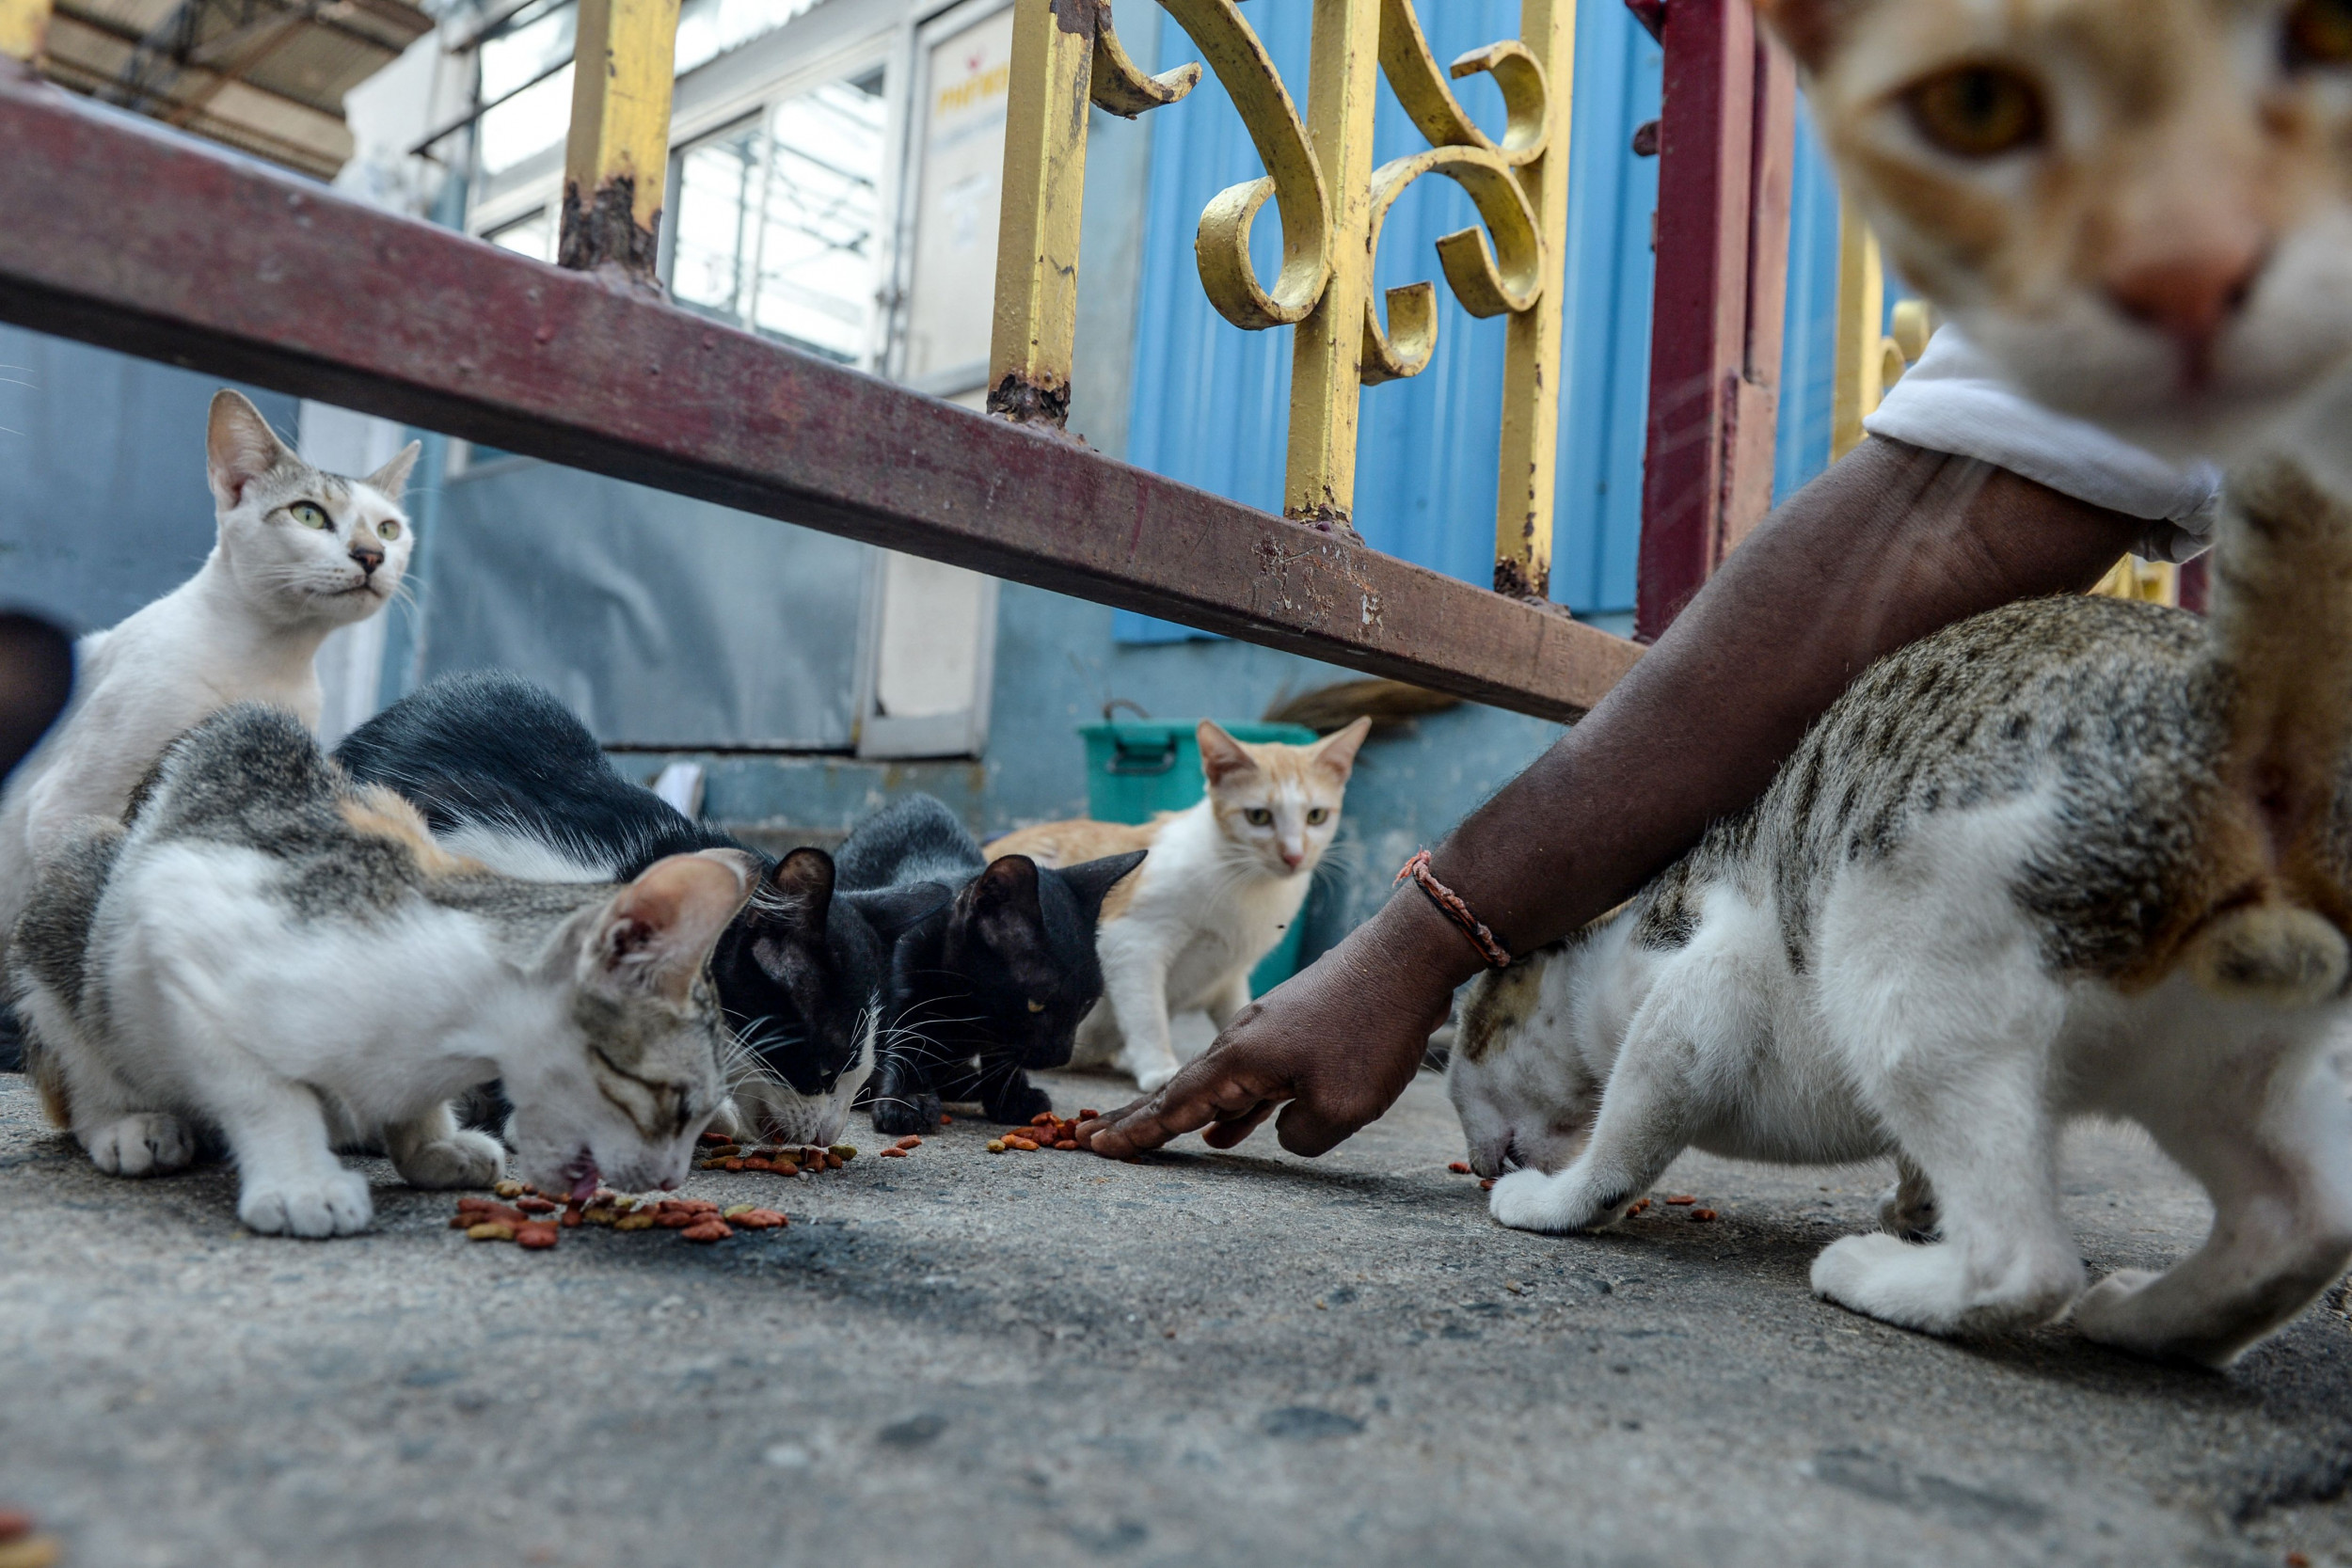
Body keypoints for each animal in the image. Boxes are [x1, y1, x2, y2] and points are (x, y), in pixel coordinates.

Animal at [2, 709, 753, 1241]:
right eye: (677, 1101)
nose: (673, 1178)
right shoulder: (180, 925)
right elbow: (262, 1090)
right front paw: (302, 1181)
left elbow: (412, 1106)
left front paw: (433, 1146)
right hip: (75, 888)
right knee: (76, 1041)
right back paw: (127, 1123)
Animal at [837, 799, 1148, 1142]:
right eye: (1036, 1003)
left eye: (1086, 1004)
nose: (1059, 1056)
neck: (966, 1011)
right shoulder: (904, 991)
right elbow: (908, 1042)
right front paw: (906, 1102)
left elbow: (1002, 1054)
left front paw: (1011, 1098)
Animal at [983, 719, 1374, 1090]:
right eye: (1258, 816)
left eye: (1316, 816)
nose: (1294, 856)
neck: (1246, 882)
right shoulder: (1133, 942)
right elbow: (1147, 1015)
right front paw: (1159, 1068)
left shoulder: (1229, 974)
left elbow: (1240, 1012)